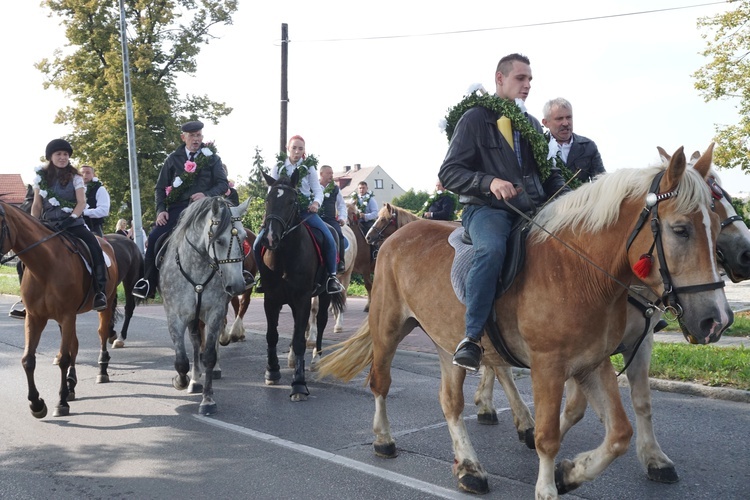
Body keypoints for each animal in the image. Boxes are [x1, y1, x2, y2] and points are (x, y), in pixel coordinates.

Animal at [0, 201, 119, 416]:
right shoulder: (35, 317)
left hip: (104, 304)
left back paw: (101, 371)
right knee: (74, 345)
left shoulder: (67, 315)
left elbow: (63, 358)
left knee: (102, 333)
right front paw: (36, 404)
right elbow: (28, 360)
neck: (45, 268)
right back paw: (71, 385)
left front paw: (61, 402)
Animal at [160, 195, 251, 414]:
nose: (237, 285)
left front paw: (208, 400)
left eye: (244, 237)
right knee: (194, 343)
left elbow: (208, 354)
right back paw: (193, 380)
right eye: (218, 240)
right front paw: (182, 381)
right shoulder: (175, 317)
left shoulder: (215, 312)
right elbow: (182, 360)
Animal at [258, 174, 346, 400]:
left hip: (322, 295)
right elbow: (272, 335)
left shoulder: (303, 298)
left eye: (291, 202)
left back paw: (316, 359)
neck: (283, 256)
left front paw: (298, 384)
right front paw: (272, 371)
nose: (270, 238)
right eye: (268, 200)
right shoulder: (271, 299)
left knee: (321, 322)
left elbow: (300, 339)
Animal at [318, 149, 736, 500]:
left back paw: (469, 467)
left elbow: (619, 431)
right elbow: (549, 436)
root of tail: (398, 238)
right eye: (680, 229)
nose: (716, 320)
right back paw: (384, 440)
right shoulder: (549, 366)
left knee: (450, 403)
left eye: (715, 225)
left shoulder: (593, 363)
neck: (580, 272)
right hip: (388, 327)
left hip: (447, 341)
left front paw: (570, 473)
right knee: (380, 383)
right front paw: (548, 485)